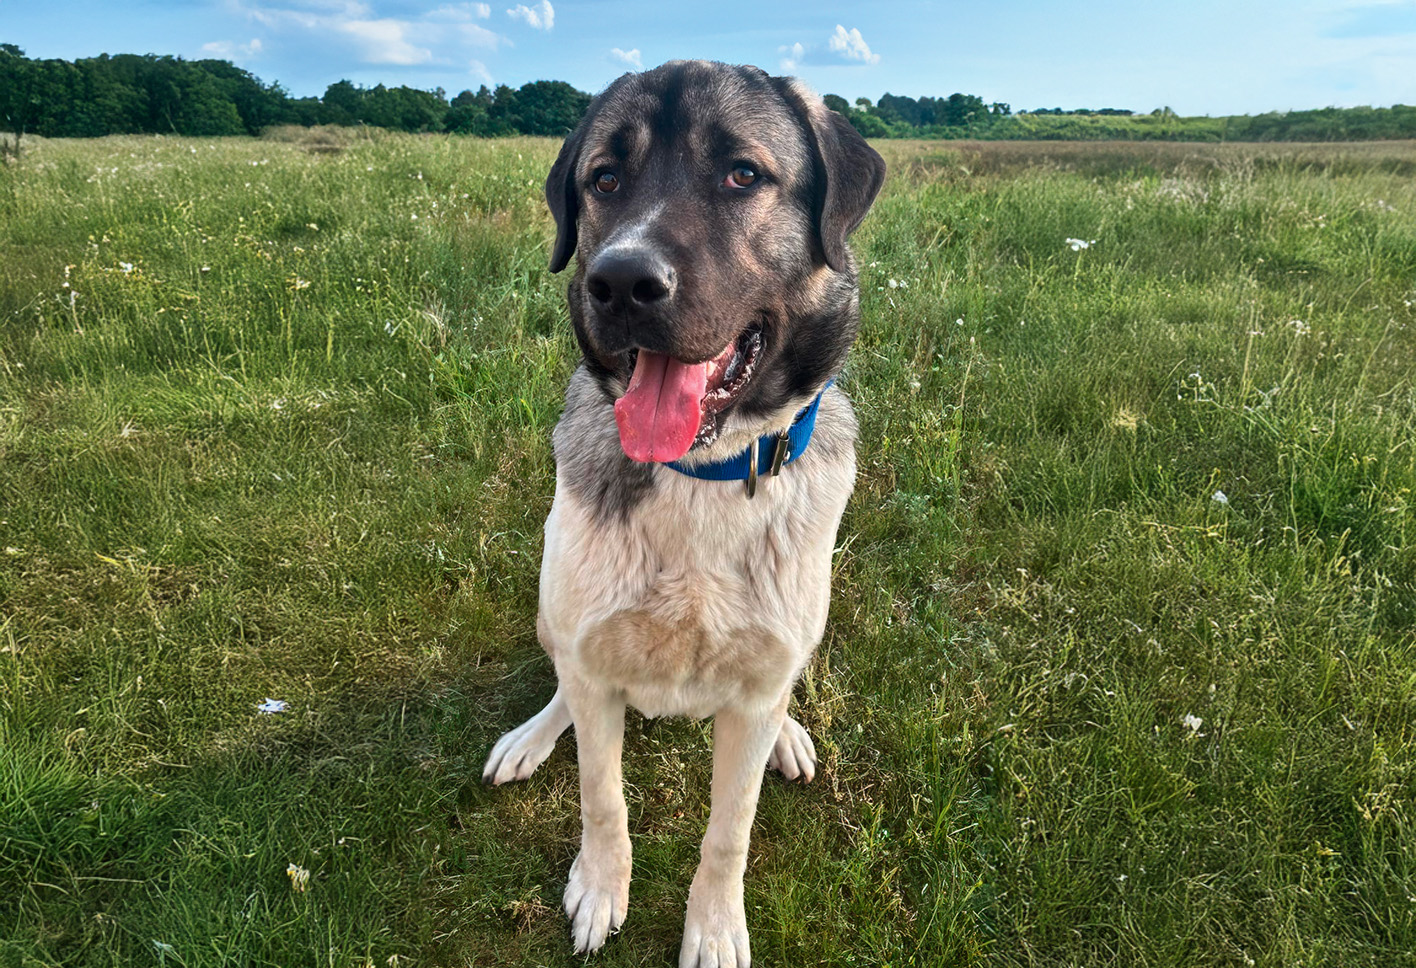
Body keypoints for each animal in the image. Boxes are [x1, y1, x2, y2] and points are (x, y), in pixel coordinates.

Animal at [487, 62, 883, 968]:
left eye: (742, 173)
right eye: (604, 179)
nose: (623, 283)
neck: (704, 471)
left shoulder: (757, 684)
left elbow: (728, 832)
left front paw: (713, 925)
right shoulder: (594, 664)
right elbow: (602, 798)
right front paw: (602, 889)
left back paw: (788, 736)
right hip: (551, 618)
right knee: (562, 686)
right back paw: (532, 735)